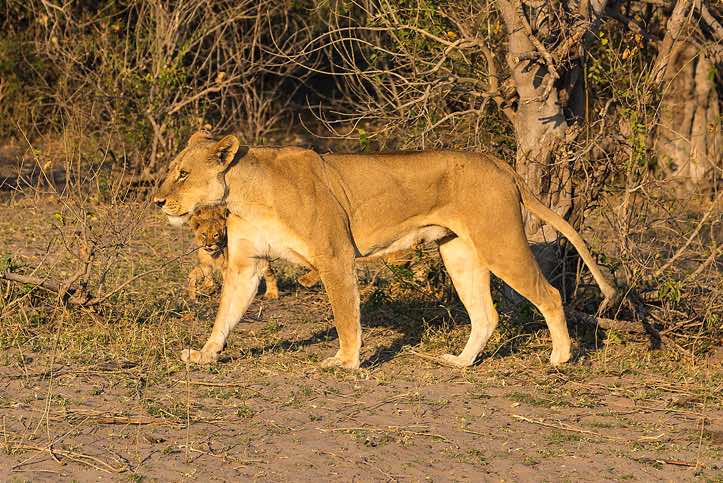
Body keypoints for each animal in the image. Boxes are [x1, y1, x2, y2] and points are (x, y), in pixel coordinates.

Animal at [154, 131, 617, 369]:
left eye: (182, 174)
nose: (157, 201)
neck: (245, 194)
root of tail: (499, 163)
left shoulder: (334, 256)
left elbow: (346, 316)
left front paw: (344, 362)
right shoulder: (246, 265)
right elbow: (225, 315)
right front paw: (204, 355)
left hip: (499, 241)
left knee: (550, 294)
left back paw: (560, 357)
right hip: (459, 254)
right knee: (486, 314)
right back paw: (460, 362)